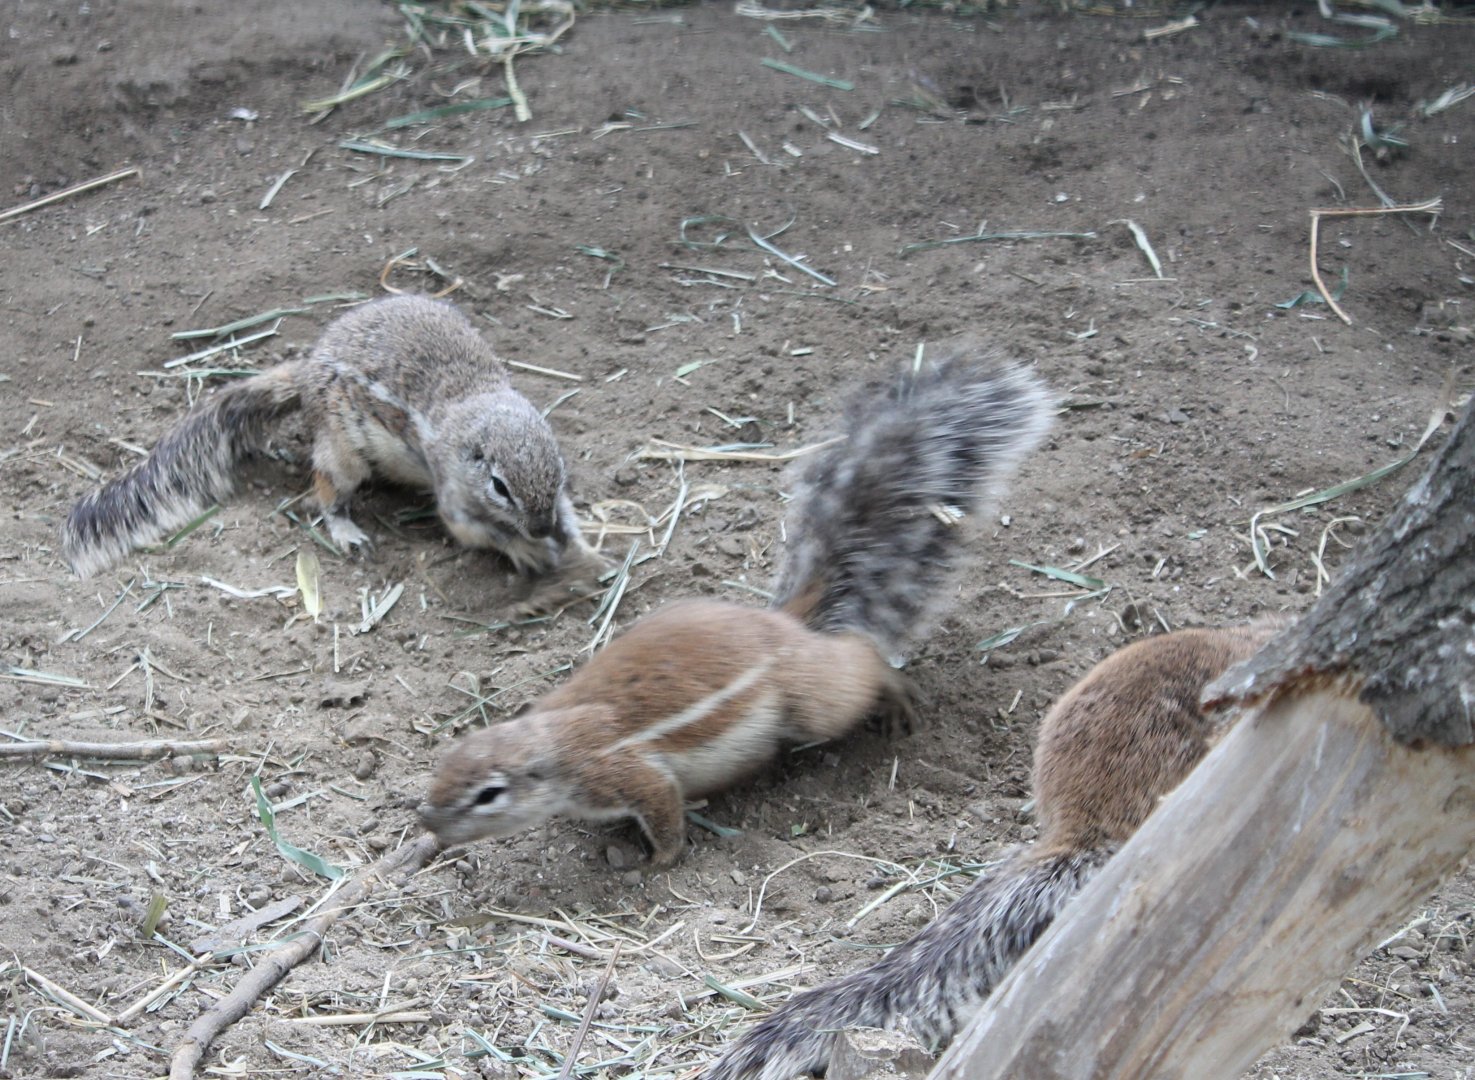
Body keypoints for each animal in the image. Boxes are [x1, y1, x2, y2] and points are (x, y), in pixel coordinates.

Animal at [61, 293, 604, 598]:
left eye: (560, 469)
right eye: (499, 486)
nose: (542, 527)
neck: (475, 405)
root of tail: (306, 372)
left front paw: (580, 544)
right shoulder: (453, 495)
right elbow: (475, 530)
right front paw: (527, 549)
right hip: (342, 453)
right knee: (326, 492)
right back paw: (347, 531)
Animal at [417, 347, 1054, 867]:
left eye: (488, 794)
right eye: (439, 770)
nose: (428, 822)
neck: (550, 745)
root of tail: (785, 623)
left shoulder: (628, 774)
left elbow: (665, 813)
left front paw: (656, 862)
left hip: (815, 700)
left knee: (861, 664)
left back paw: (895, 696)